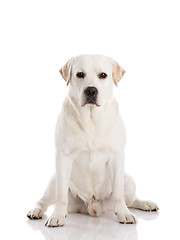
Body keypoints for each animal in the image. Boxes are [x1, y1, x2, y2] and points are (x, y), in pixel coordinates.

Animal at [27, 54, 158, 227]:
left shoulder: (117, 156)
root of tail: (92, 205)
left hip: (128, 181)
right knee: (44, 200)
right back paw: (37, 210)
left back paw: (146, 204)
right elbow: (61, 196)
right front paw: (57, 216)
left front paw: (124, 214)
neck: (91, 120)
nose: (90, 90)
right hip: (54, 179)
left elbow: (118, 194)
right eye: (80, 74)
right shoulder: (63, 158)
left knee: (131, 200)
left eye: (103, 75)